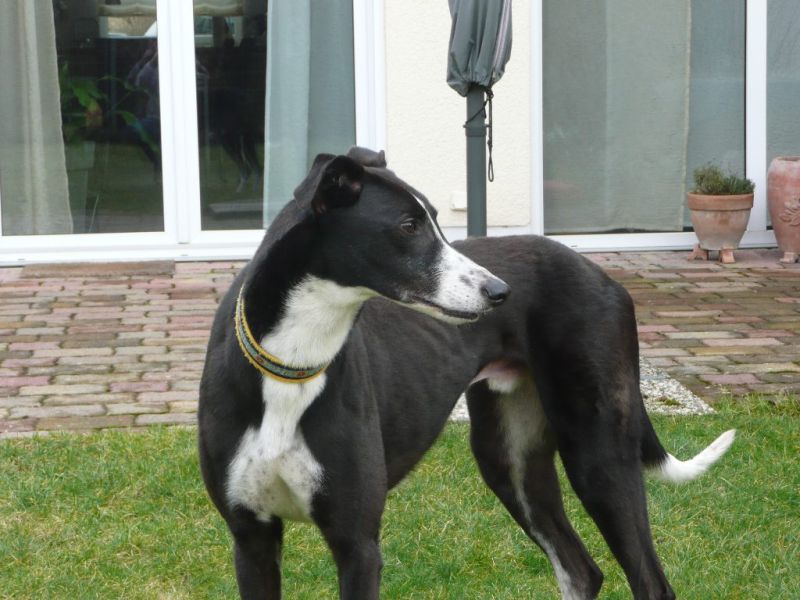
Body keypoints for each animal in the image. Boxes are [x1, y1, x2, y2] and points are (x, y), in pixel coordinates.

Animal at [198, 147, 734, 599]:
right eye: (408, 225)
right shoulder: (251, 539)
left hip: (599, 453)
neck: (292, 364)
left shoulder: (357, 543)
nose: (500, 292)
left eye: (437, 220)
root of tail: (604, 276)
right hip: (510, 460)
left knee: (649, 582)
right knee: (581, 569)